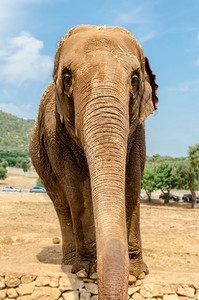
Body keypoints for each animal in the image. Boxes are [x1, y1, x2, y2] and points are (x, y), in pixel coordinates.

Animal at [28, 25, 158, 300]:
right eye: (67, 78)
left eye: (134, 80)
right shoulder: (56, 132)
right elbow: (76, 189)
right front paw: (86, 273)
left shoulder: (137, 130)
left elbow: (132, 182)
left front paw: (135, 275)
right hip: (40, 161)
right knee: (62, 203)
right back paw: (69, 262)